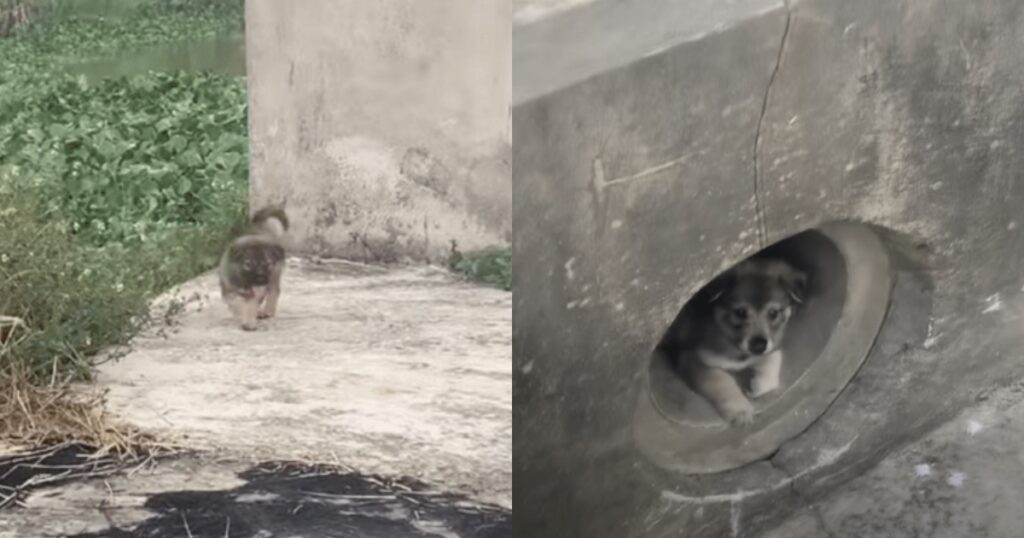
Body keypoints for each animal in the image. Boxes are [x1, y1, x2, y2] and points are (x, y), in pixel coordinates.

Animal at [671, 258, 806, 426]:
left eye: (773, 313)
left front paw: (761, 385)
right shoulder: (691, 358)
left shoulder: (771, 345)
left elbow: (774, 356)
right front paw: (740, 409)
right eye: (740, 312)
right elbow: (720, 381)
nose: (759, 345)